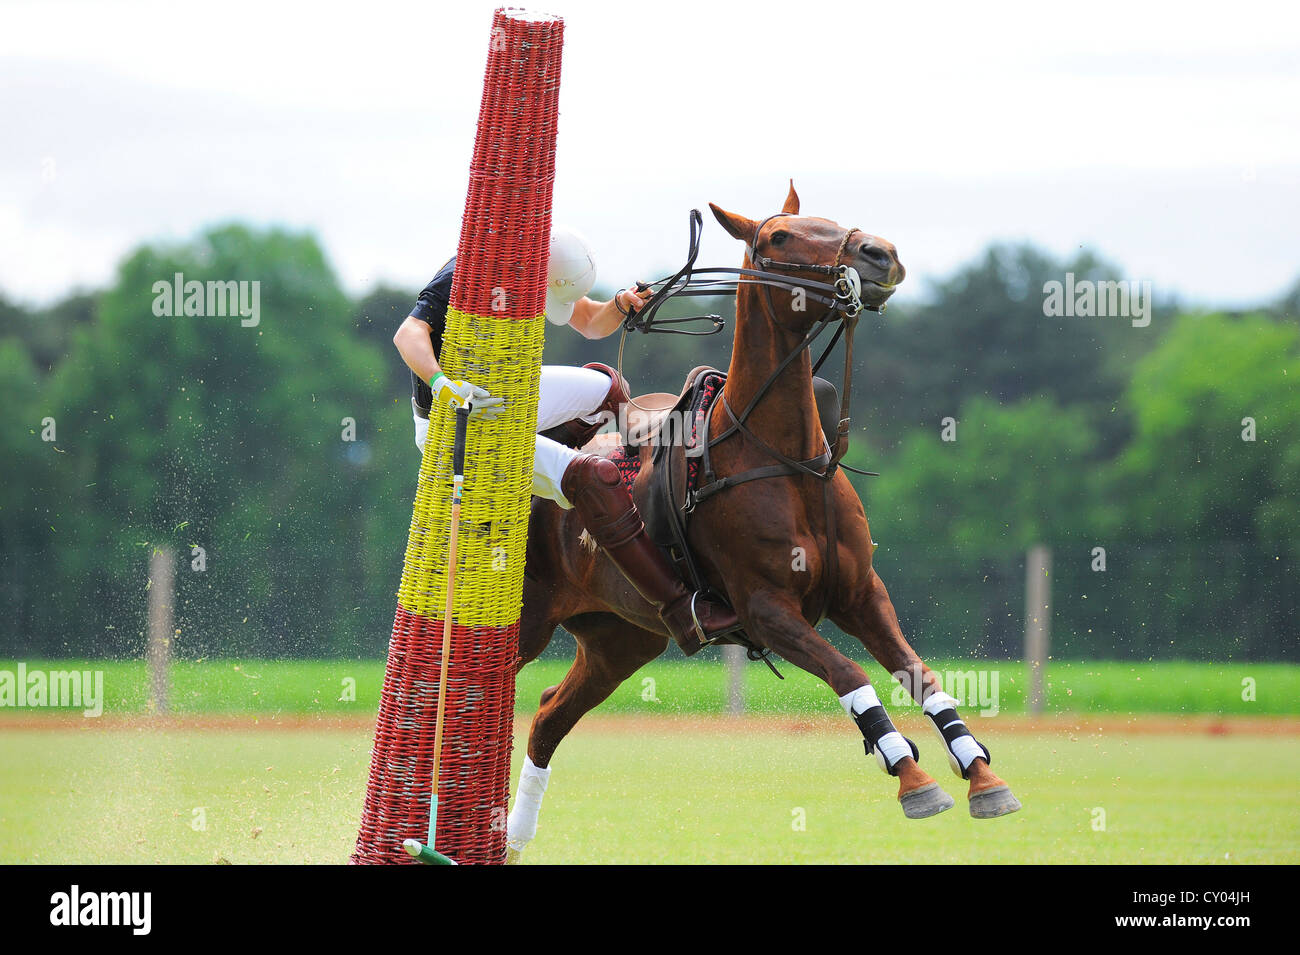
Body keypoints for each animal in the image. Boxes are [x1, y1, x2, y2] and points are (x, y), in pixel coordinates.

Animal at [512, 183, 1019, 862]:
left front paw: (982, 775)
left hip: (621, 639)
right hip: (527, 622)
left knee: (547, 715)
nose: (881, 254)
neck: (785, 456)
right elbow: (849, 673)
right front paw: (911, 777)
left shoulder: (861, 593)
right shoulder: (766, 609)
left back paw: (512, 837)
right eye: (779, 237)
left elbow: (920, 673)